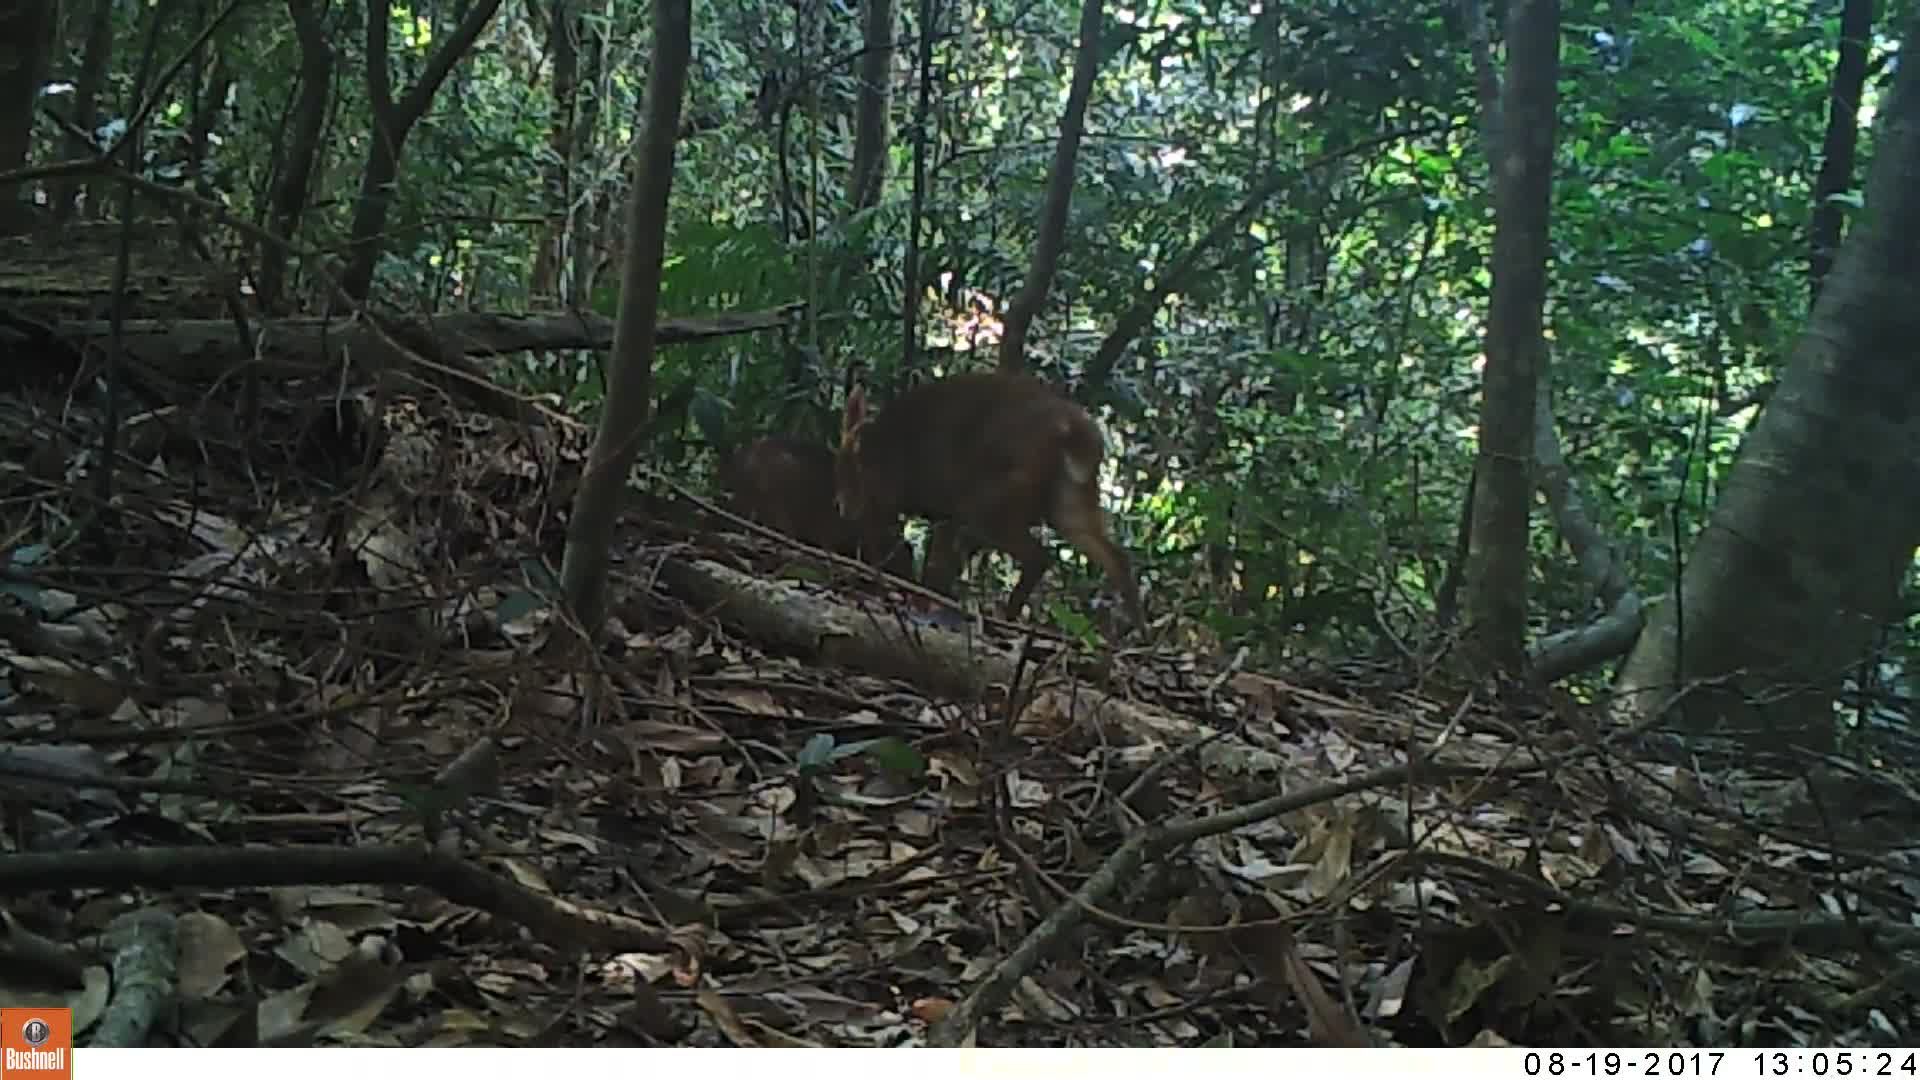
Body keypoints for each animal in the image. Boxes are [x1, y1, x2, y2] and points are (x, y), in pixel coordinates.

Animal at [837, 368, 1136, 626]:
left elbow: (916, 558)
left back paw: (1004, 621)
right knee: (1116, 557)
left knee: (1039, 556)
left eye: (849, 470)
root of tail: (1077, 430)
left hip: (990, 501)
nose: (842, 506)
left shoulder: (909, 499)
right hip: (1068, 499)